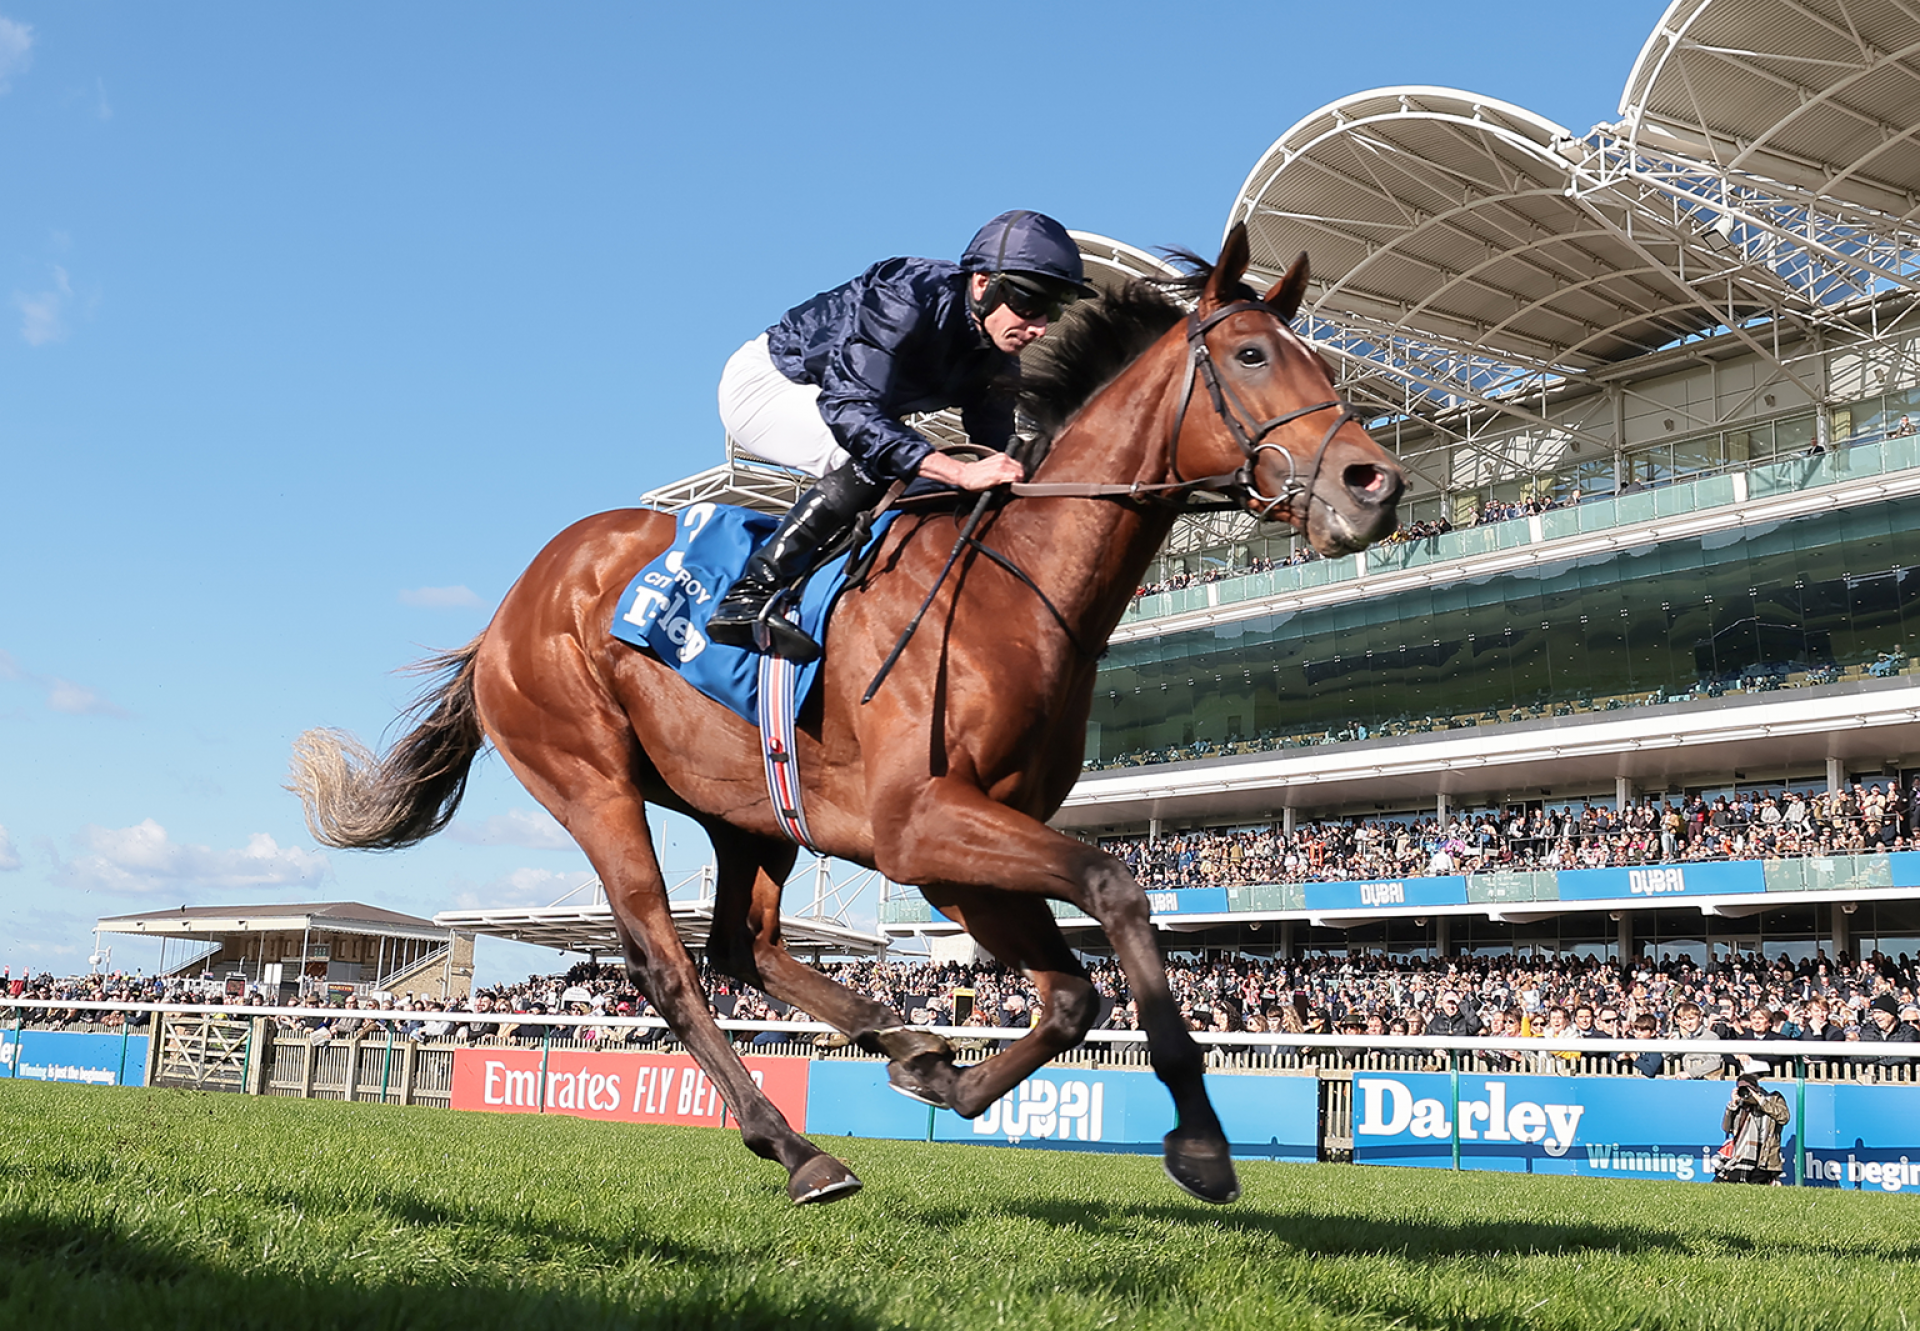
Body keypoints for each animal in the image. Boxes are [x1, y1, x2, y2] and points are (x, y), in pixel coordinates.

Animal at [288, 225, 1397, 1206]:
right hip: (589, 780)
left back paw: (895, 1038)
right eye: (1252, 354)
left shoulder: (955, 851)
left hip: (744, 808)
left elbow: (1073, 992)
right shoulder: (919, 824)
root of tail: (508, 609)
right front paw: (1201, 1142)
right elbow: (1117, 885)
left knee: (744, 945)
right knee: (667, 963)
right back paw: (797, 1146)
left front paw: (944, 1074)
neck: (1017, 584)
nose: (1373, 482)